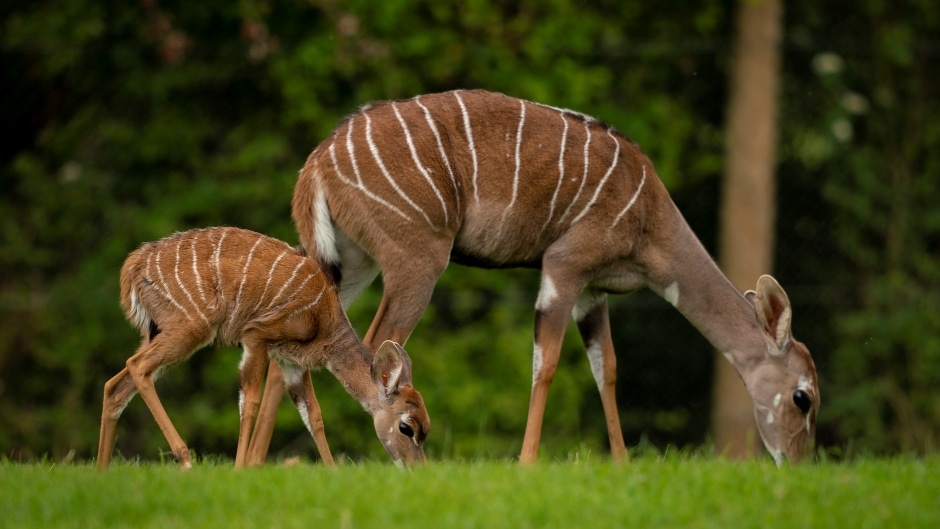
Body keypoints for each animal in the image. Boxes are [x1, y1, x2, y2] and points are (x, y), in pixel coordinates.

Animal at [98, 225, 430, 468]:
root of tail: (132, 268)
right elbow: (251, 402)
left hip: (156, 331)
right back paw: (185, 459)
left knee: (116, 385)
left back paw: (102, 471)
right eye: (407, 427)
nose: (418, 469)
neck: (326, 324)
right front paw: (239, 469)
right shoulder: (257, 334)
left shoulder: (292, 362)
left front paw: (333, 471)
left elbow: (314, 416)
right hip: (190, 326)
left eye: (426, 428)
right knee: (137, 366)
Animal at [248, 88, 816, 464]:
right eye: (802, 396)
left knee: (291, 357)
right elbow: (546, 363)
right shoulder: (565, 264)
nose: (798, 464)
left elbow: (606, 369)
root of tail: (318, 163)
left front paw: (622, 465)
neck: (649, 220)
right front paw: (526, 465)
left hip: (347, 264)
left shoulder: (593, 290)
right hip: (417, 258)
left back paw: (254, 465)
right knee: (376, 346)